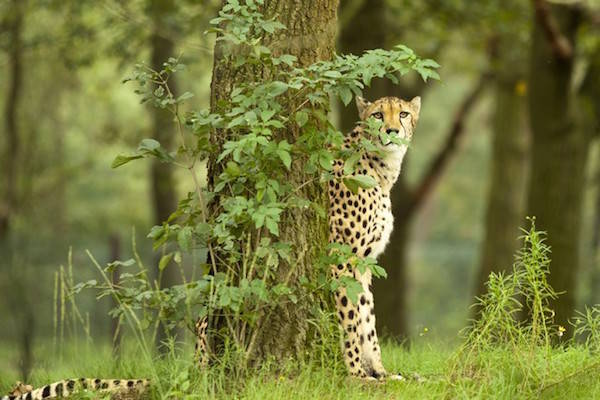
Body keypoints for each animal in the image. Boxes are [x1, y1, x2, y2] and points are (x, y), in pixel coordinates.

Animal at [328, 95, 422, 380]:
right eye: (378, 115)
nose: (392, 131)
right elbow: (350, 316)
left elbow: (367, 316)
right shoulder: (341, 258)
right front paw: (357, 372)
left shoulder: (364, 263)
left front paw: (380, 371)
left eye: (403, 114)